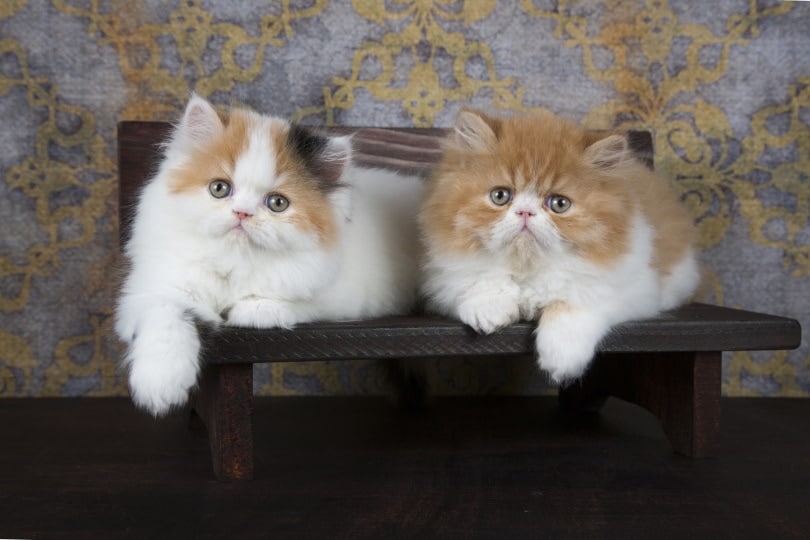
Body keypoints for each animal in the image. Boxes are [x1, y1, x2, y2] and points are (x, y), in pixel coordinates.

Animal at [117, 96, 426, 418]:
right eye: (219, 188)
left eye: (277, 203)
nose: (242, 213)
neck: (236, 260)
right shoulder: (157, 288)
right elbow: (165, 320)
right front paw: (159, 386)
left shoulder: (347, 293)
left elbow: (293, 297)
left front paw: (255, 310)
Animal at [420, 106, 696, 384]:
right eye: (500, 196)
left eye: (559, 204)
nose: (525, 212)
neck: (528, 270)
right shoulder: (442, 282)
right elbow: (477, 281)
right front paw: (489, 308)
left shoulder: (635, 288)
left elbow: (570, 304)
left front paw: (561, 358)